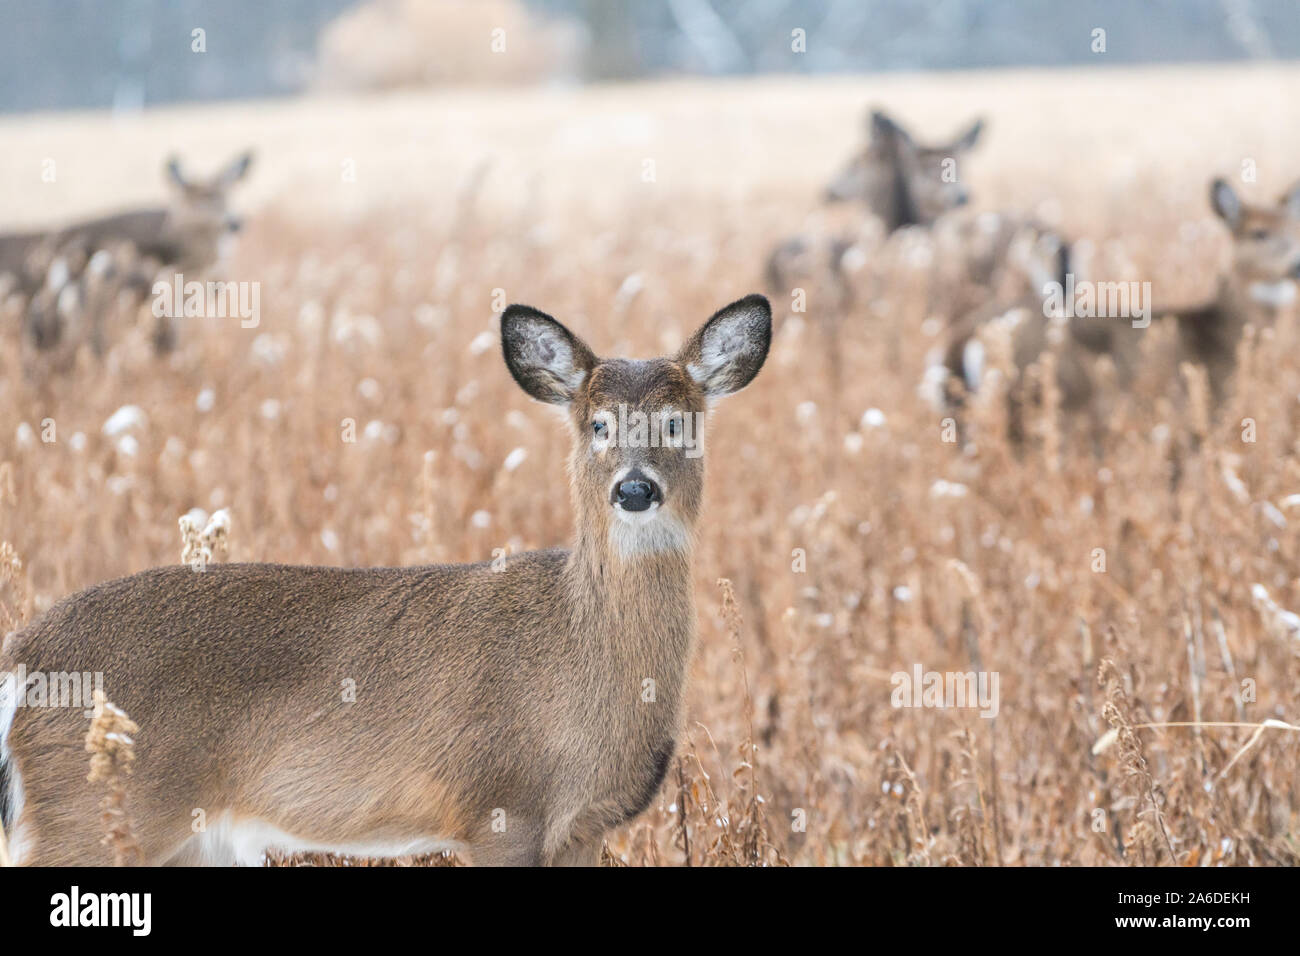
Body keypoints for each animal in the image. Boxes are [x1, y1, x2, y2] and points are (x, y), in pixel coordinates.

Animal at [0, 293, 769, 868]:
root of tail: (22, 656)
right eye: (599, 425)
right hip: (93, 812)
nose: (635, 490)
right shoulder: (499, 806)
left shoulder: (583, 827)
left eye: (679, 423)